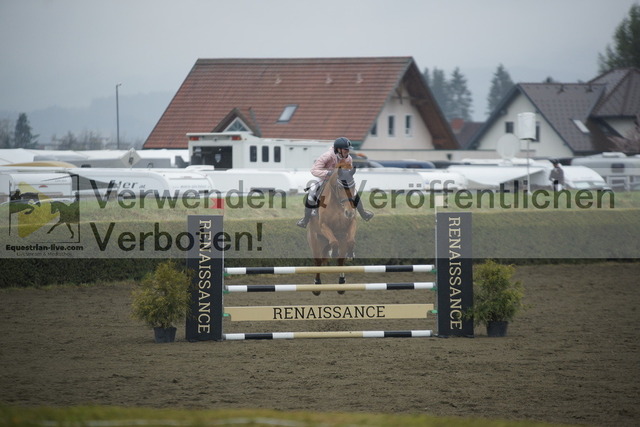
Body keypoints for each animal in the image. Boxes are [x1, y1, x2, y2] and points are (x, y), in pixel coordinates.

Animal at [306, 160, 358, 294]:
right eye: (340, 187)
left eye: (353, 186)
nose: (349, 212)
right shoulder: (324, 226)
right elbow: (334, 243)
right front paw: (334, 253)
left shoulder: (351, 224)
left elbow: (351, 242)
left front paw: (350, 254)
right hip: (315, 240)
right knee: (318, 261)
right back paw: (317, 285)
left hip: (338, 239)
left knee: (340, 259)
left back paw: (341, 282)